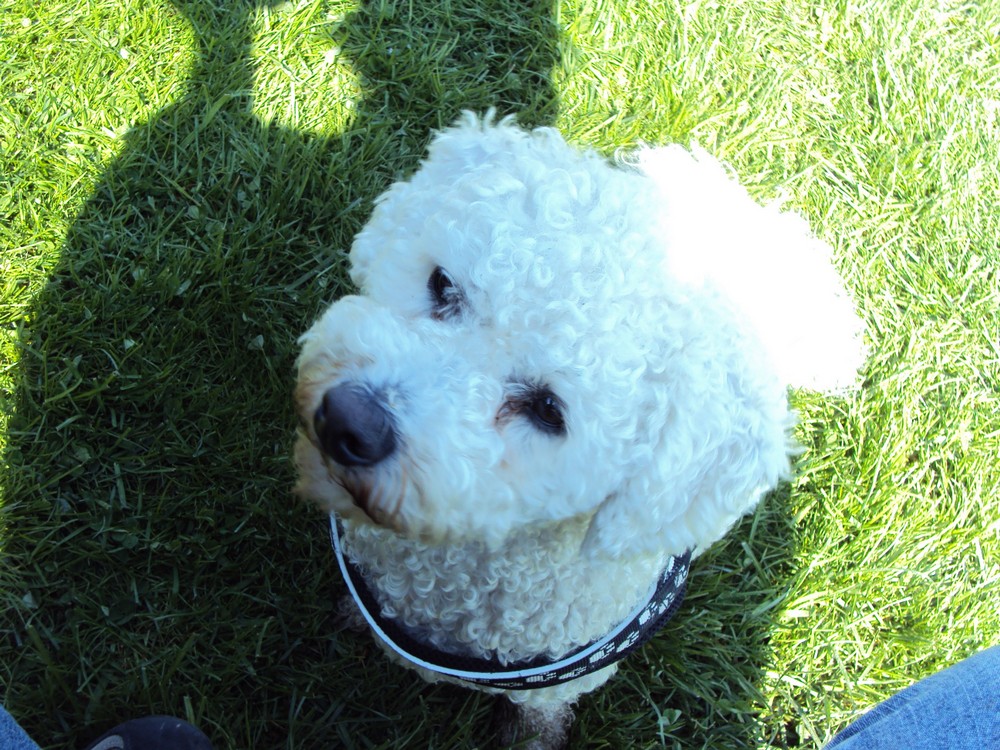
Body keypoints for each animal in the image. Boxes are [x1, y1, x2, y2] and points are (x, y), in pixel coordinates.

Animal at [293, 112, 865, 748]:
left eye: (548, 409)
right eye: (442, 285)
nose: (348, 422)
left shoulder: (556, 683)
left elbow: (538, 720)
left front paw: (530, 739)